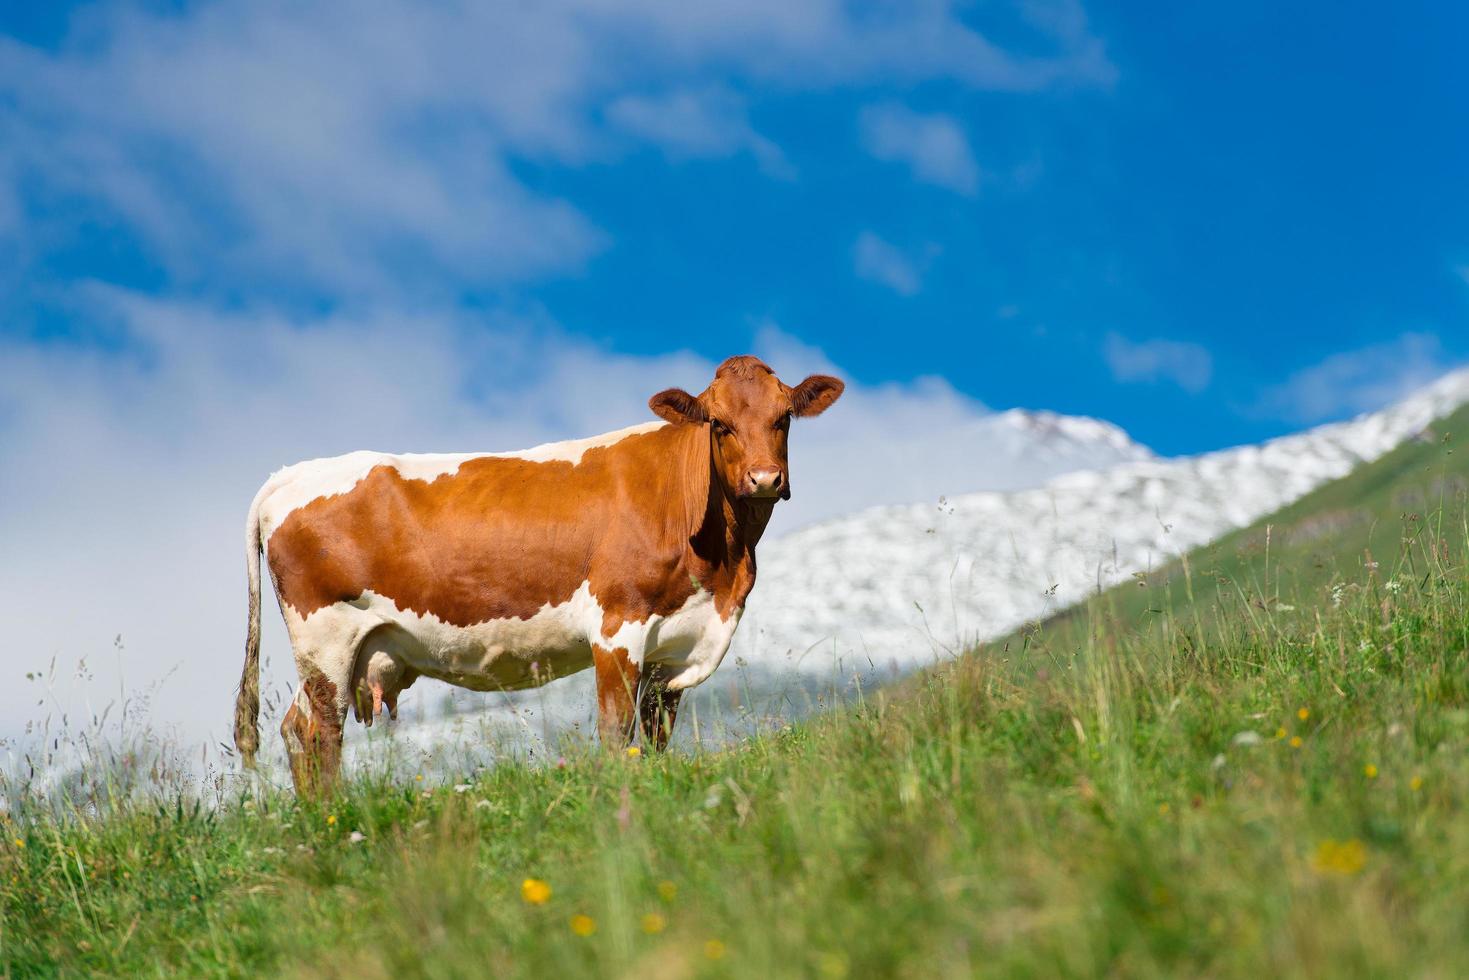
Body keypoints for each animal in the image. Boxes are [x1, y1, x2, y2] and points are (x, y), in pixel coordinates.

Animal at [235, 357, 846, 793]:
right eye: (719, 424)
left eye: (783, 417)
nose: (764, 479)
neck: (723, 569)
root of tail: (291, 474)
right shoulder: (617, 626)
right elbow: (615, 732)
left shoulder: (675, 647)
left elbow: (656, 736)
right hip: (326, 639)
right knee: (319, 733)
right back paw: (331, 822)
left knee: (296, 729)